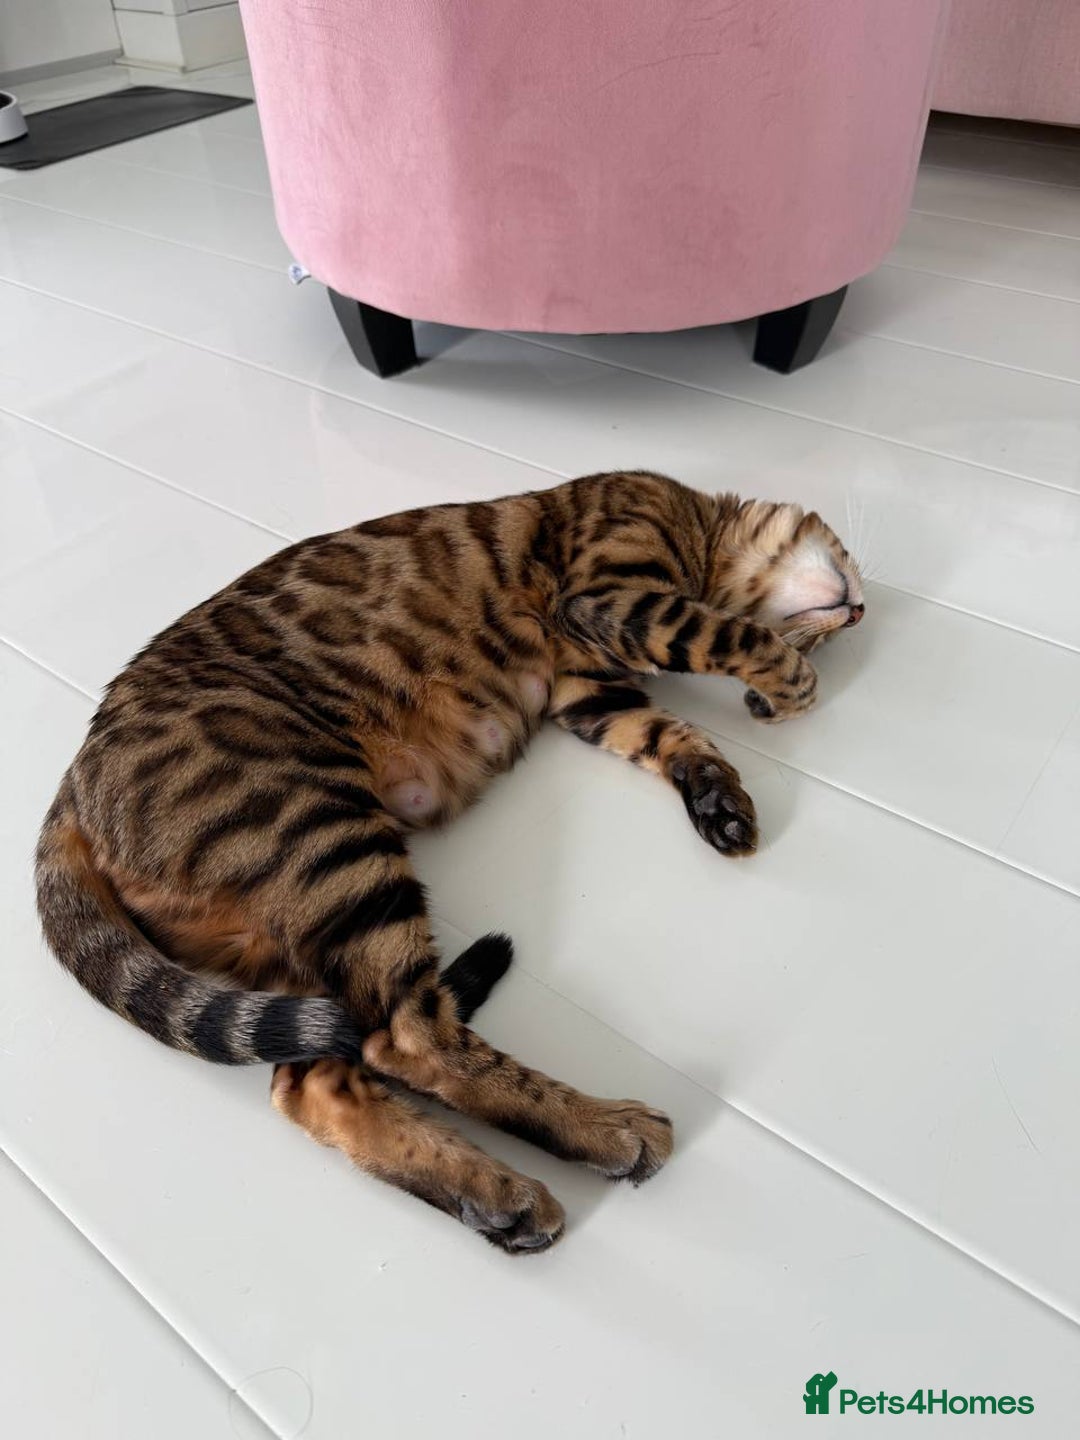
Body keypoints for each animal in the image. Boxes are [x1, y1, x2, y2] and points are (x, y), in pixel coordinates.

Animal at [36, 470, 863, 1252]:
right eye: (851, 569)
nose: (855, 614)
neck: (700, 529)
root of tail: (69, 788)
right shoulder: (613, 599)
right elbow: (733, 637)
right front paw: (790, 687)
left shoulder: (589, 692)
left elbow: (669, 733)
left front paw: (719, 800)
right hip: (326, 840)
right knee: (409, 1040)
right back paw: (603, 1130)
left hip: (297, 934)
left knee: (316, 1081)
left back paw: (496, 1198)